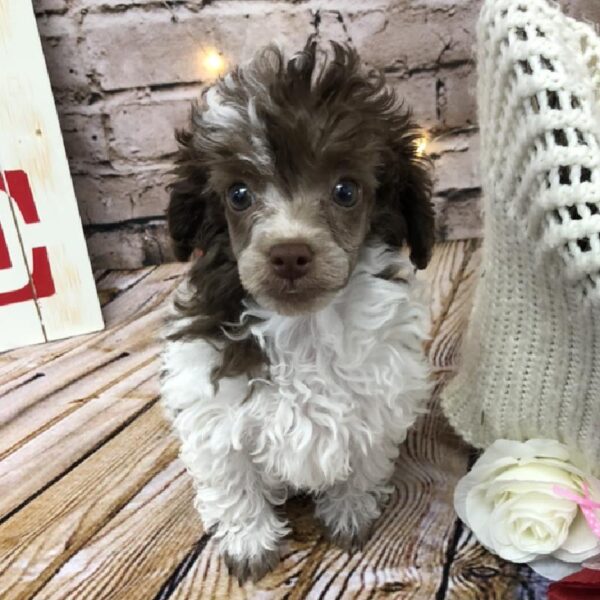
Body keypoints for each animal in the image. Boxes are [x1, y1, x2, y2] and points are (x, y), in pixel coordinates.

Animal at [162, 41, 436, 580]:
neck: (303, 325)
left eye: (346, 191)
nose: (289, 254)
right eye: (238, 194)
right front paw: (249, 542)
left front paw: (350, 512)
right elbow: (233, 480)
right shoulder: (214, 410)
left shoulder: (379, 398)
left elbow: (362, 462)